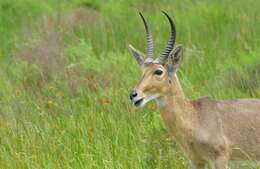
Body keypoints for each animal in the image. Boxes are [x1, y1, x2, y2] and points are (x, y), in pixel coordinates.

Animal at [129, 11, 260, 168]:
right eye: (142, 70)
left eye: (159, 71)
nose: (134, 95)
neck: (195, 116)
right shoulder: (196, 161)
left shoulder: (220, 160)